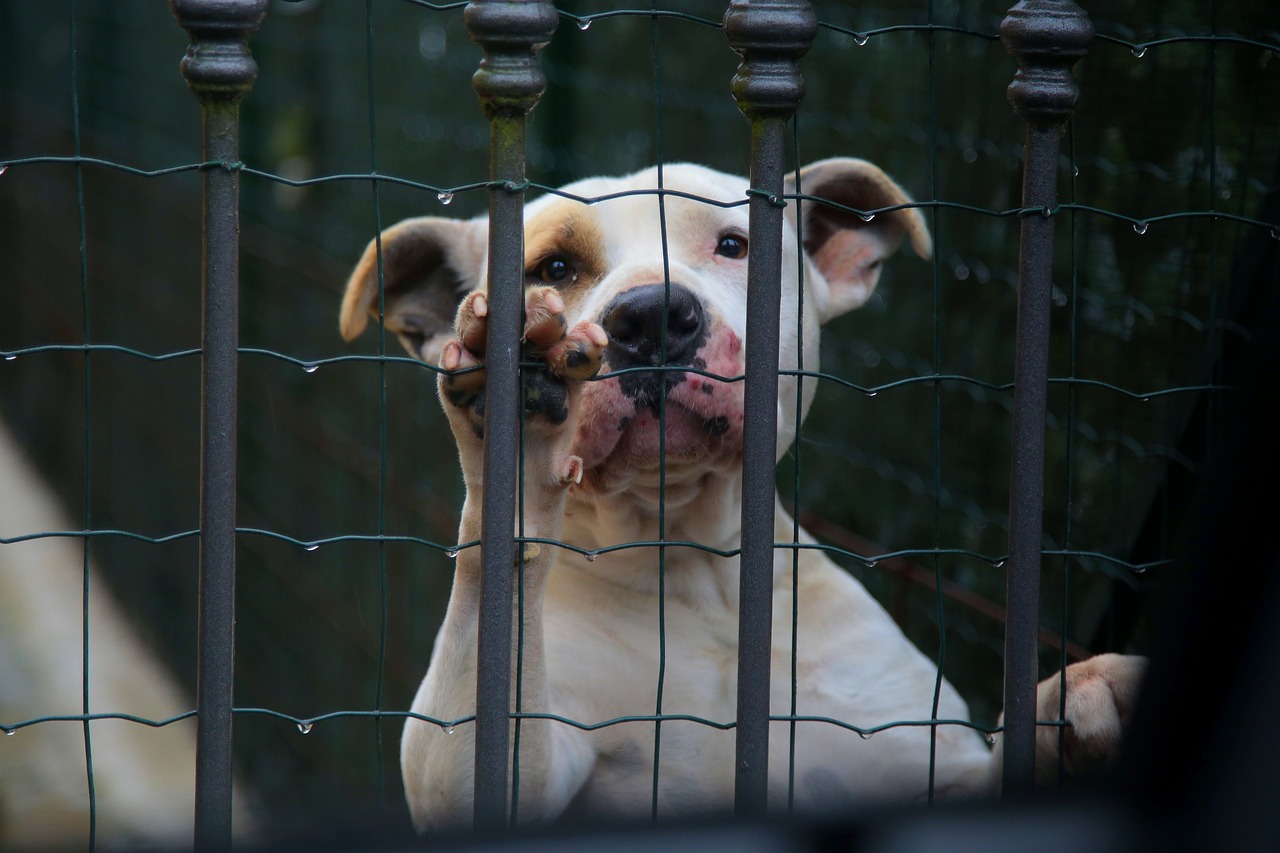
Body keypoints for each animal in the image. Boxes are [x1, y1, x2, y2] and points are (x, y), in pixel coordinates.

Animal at [335, 156, 1146, 824]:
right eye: (554, 266)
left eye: (734, 246)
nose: (649, 315)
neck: (700, 574)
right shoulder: (496, 760)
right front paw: (521, 423)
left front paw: (1076, 701)